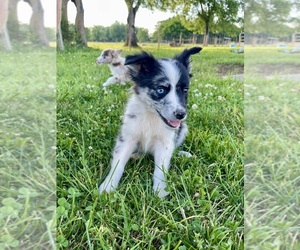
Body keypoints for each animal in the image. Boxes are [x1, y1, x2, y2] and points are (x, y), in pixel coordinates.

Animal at [99, 47, 203, 197]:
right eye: (160, 89)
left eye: (185, 90)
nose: (181, 115)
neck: (152, 116)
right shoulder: (128, 137)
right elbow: (118, 163)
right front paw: (108, 186)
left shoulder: (165, 142)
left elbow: (160, 169)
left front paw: (160, 191)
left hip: (183, 129)